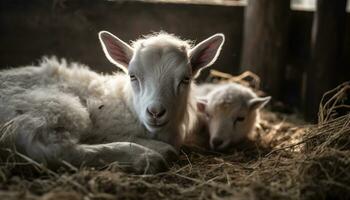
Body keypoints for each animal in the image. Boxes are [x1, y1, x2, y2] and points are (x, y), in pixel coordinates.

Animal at [0, 31, 224, 173]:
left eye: (185, 79)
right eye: (133, 76)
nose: (155, 112)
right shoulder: (104, 128)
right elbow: (167, 148)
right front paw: (152, 150)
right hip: (52, 107)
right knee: (52, 149)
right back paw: (144, 157)